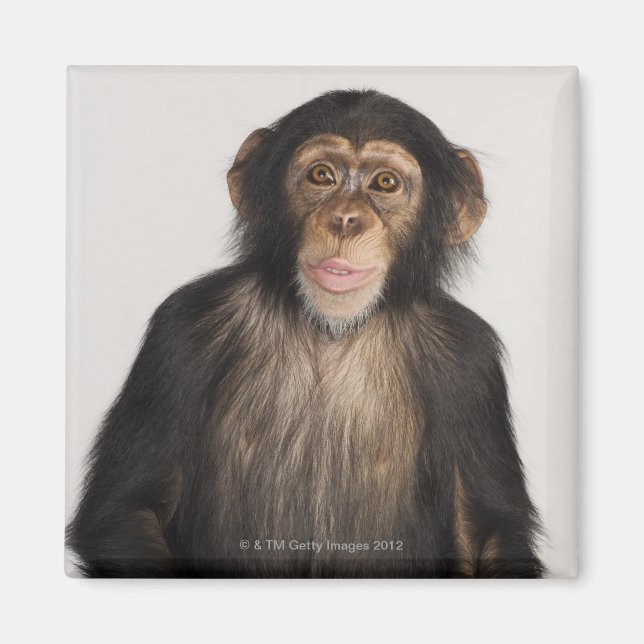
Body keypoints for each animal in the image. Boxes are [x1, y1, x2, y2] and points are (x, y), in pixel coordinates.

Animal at [66, 89, 544, 578]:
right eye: (322, 176)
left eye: (385, 183)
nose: (346, 218)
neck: (331, 330)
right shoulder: (182, 331)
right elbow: (130, 509)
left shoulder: (469, 362)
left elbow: (481, 531)